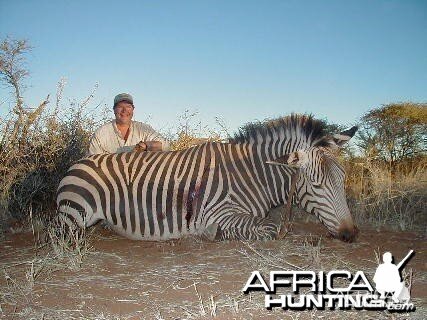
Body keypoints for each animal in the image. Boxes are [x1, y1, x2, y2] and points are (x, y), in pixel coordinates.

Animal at [56, 115, 358, 242]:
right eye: (317, 185)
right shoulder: (222, 213)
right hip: (74, 218)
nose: (351, 233)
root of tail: (76, 164)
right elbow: (271, 228)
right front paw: (213, 234)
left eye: (343, 179)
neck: (251, 174)